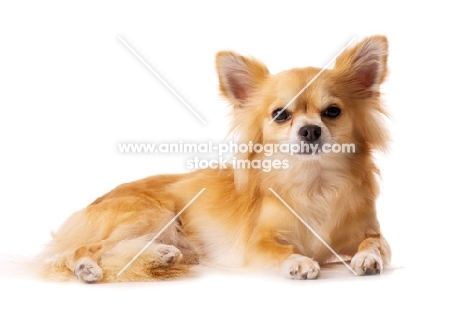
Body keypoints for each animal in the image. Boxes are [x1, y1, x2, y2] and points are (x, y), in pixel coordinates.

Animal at [39, 35, 392, 284]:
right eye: (280, 115)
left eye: (332, 112)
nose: (310, 130)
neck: (314, 182)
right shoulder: (256, 245)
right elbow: (281, 249)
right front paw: (298, 261)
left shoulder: (371, 232)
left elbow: (374, 243)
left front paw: (367, 258)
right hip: (153, 214)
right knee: (82, 249)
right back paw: (87, 267)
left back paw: (162, 255)